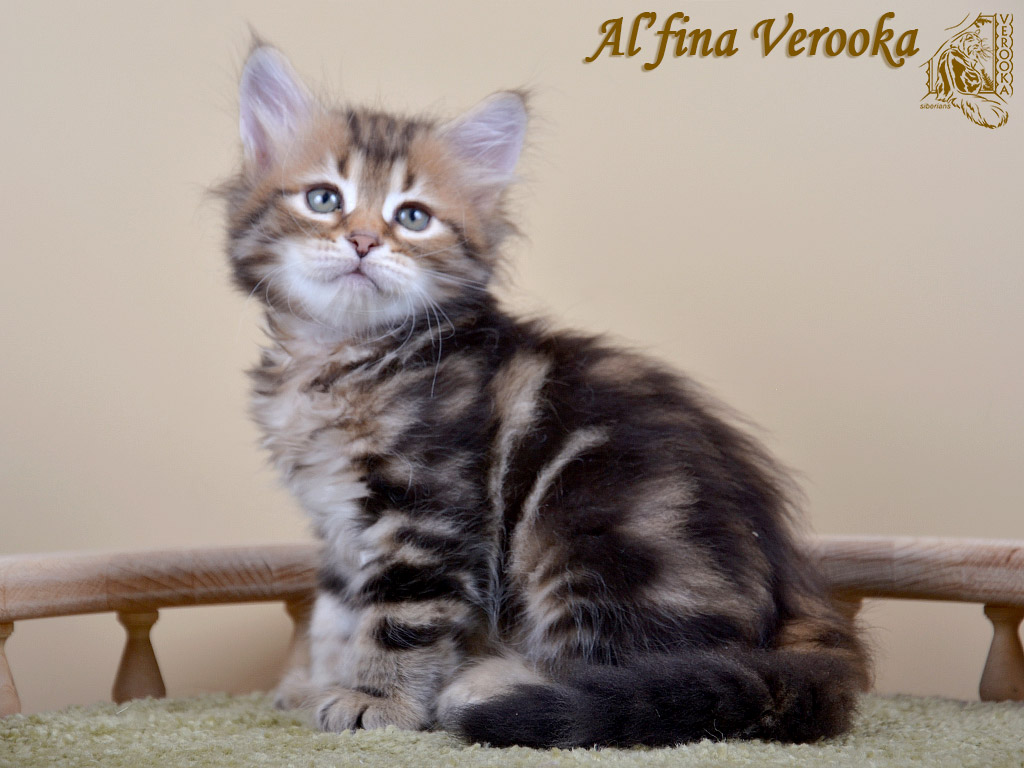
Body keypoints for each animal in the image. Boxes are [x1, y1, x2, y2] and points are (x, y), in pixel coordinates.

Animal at [221, 43, 870, 748]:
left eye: (413, 217)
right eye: (323, 199)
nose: (364, 240)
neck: (345, 356)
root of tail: (794, 599)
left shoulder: (429, 513)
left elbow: (399, 617)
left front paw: (377, 700)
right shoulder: (338, 519)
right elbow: (335, 614)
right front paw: (314, 683)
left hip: (590, 528)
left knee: (634, 670)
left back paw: (488, 685)